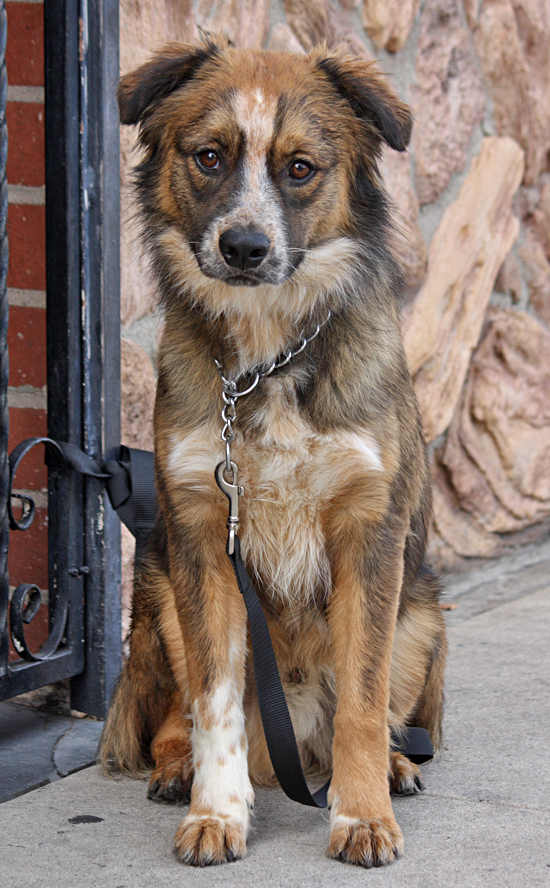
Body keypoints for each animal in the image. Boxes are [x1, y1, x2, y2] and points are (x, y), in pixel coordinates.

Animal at [100, 37, 447, 869]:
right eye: (208, 156)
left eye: (299, 168)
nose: (245, 248)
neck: (268, 360)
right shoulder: (201, 535)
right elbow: (215, 700)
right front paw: (216, 811)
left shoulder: (369, 534)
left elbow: (362, 700)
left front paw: (362, 814)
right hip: (158, 579)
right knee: (174, 718)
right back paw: (175, 769)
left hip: (424, 610)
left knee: (380, 709)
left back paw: (393, 764)